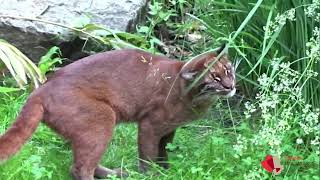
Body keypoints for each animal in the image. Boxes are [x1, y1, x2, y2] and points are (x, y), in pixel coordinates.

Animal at [0, 44, 235, 179]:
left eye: (228, 70)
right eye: (215, 78)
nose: (231, 86)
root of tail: (42, 88)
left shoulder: (169, 130)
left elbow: (164, 151)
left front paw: (167, 171)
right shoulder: (150, 125)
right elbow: (148, 155)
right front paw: (151, 175)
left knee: (84, 161)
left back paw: (116, 174)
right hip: (104, 117)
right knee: (79, 168)